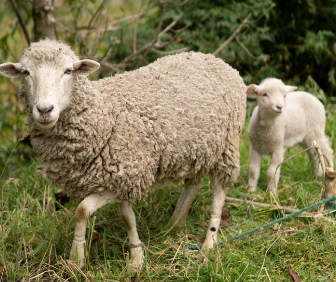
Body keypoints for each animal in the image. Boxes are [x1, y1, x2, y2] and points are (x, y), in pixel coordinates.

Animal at [0, 38, 247, 270]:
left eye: (68, 71)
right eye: (26, 73)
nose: (44, 110)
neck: (102, 116)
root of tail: (214, 59)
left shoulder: (126, 175)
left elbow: (82, 210)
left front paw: (76, 259)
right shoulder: (122, 174)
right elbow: (127, 218)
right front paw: (137, 257)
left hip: (228, 145)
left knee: (219, 191)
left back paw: (209, 242)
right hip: (196, 149)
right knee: (193, 183)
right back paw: (173, 226)